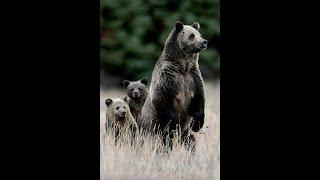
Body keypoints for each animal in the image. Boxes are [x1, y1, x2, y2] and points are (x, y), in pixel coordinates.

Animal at [140, 21, 208, 149]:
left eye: (200, 34)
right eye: (191, 35)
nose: (204, 42)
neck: (183, 66)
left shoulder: (193, 78)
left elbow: (199, 99)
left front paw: (196, 125)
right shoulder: (167, 78)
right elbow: (161, 98)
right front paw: (176, 122)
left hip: (183, 134)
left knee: (189, 140)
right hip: (153, 128)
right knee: (162, 141)